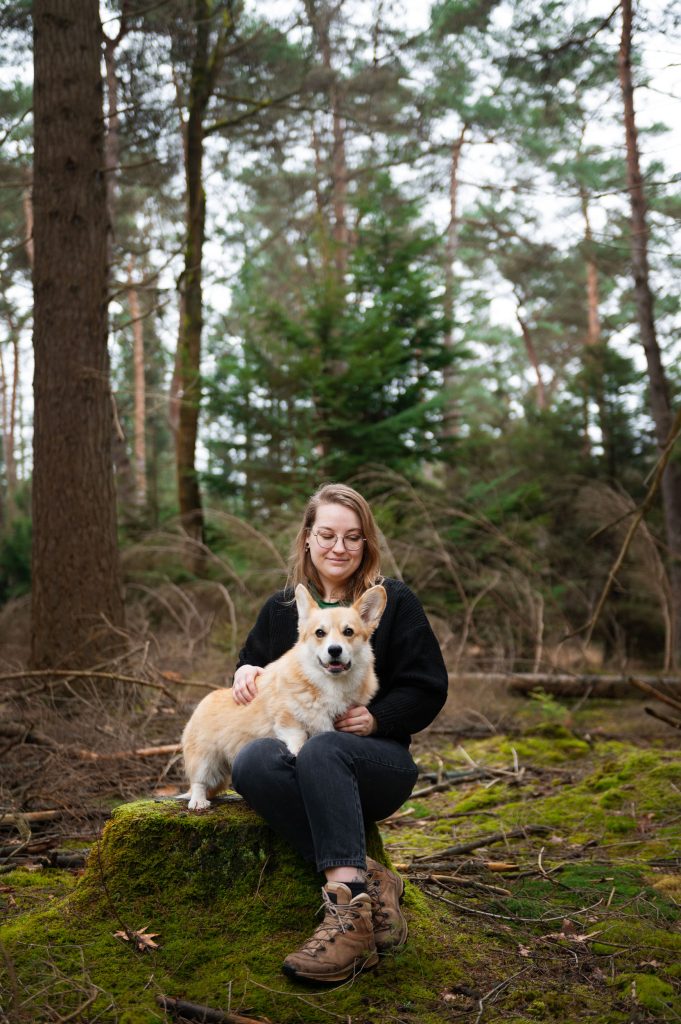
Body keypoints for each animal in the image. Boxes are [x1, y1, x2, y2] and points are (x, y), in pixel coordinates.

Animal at [180, 585, 385, 806]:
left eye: (348, 632)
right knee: (198, 782)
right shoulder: (286, 717)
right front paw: (297, 751)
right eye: (320, 633)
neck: (329, 684)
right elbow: (298, 734)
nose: (334, 650)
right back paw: (198, 801)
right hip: (204, 758)